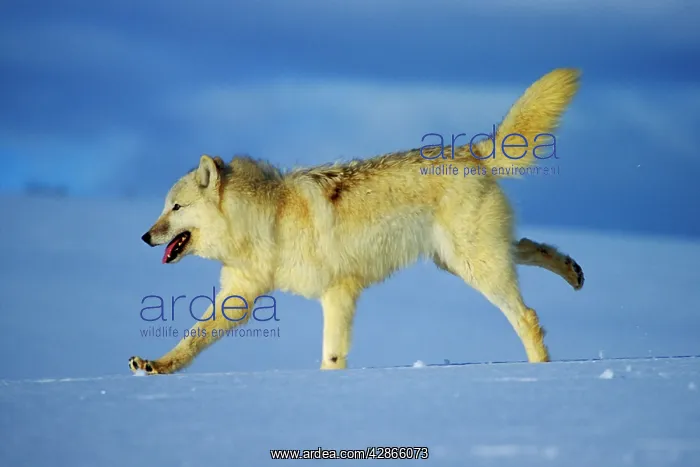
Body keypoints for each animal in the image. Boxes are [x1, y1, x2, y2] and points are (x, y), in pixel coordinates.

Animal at [131, 68, 583, 375]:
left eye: (176, 208)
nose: (145, 236)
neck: (267, 219)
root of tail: (471, 152)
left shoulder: (339, 291)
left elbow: (332, 357)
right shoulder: (239, 297)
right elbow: (192, 339)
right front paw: (154, 365)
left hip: (474, 266)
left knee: (527, 316)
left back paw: (541, 375)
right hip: (457, 261)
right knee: (531, 248)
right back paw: (574, 273)